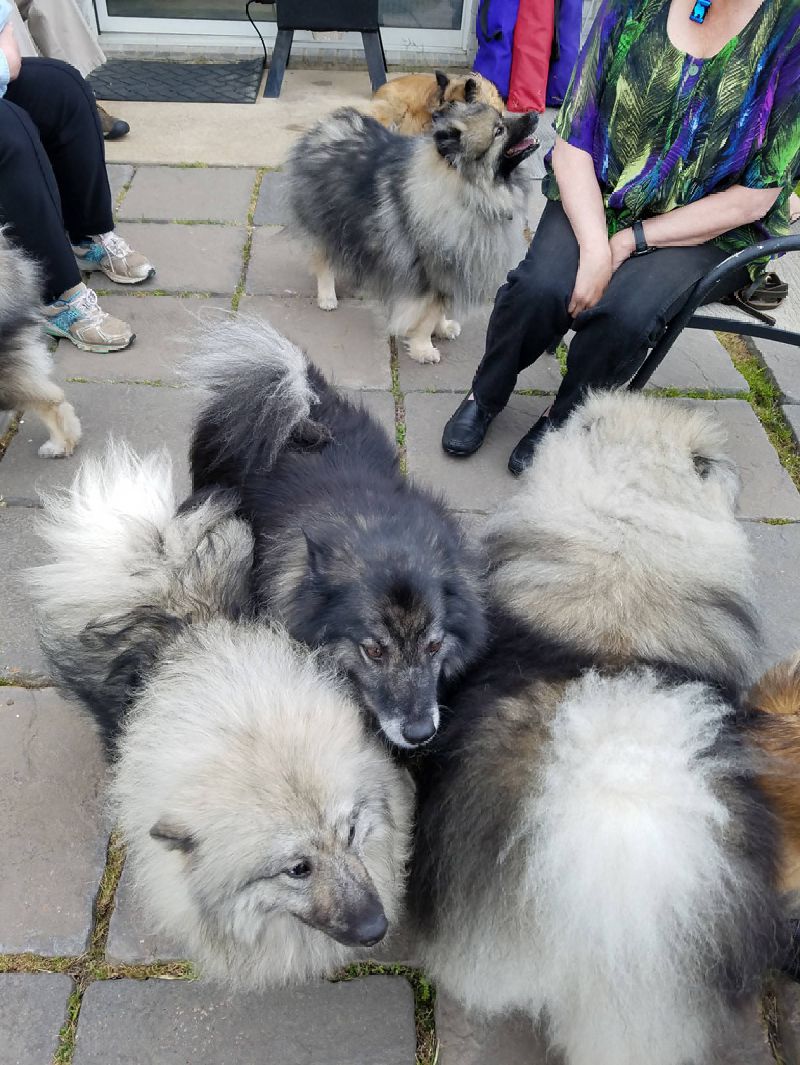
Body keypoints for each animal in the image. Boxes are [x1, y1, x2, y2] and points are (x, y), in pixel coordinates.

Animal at [286, 102, 537, 363]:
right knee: (323, 261)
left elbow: (440, 310)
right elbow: (426, 317)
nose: (534, 115)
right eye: (499, 131)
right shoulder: (428, 275)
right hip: (325, 222)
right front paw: (423, 348)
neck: (469, 194)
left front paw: (443, 327)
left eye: (503, 116)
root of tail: (323, 127)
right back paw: (327, 297)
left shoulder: (449, 272)